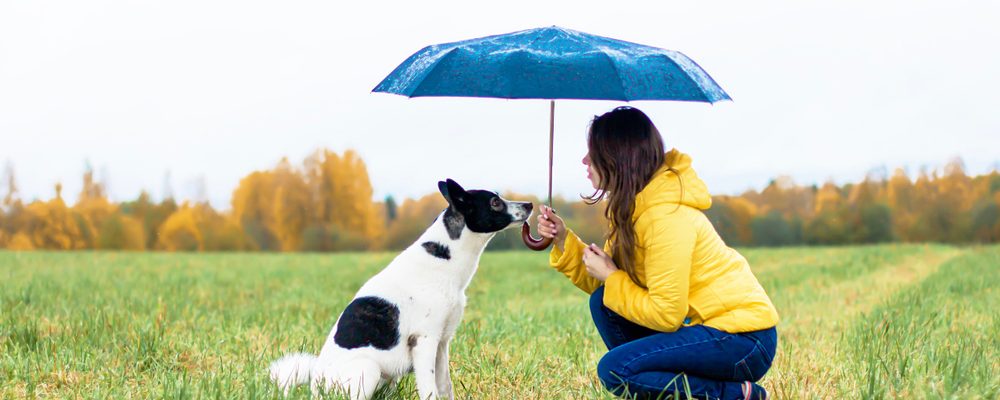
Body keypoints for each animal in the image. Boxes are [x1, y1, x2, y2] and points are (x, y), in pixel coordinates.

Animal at [266, 180, 532, 398]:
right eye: (495, 203)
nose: (529, 204)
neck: (443, 258)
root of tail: (316, 387)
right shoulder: (424, 342)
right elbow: (430, 389)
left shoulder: (442, 343)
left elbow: (445, 386)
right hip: (369, 369)